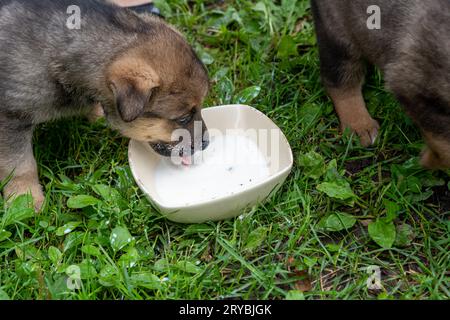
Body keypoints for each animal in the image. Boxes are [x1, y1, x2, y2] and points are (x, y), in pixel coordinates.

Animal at [312, 0, 448, 169]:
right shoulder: (412, 85)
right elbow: (443, 143)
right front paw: (430, 161)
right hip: (337, 31)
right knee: (341, 82)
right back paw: (359, 126)